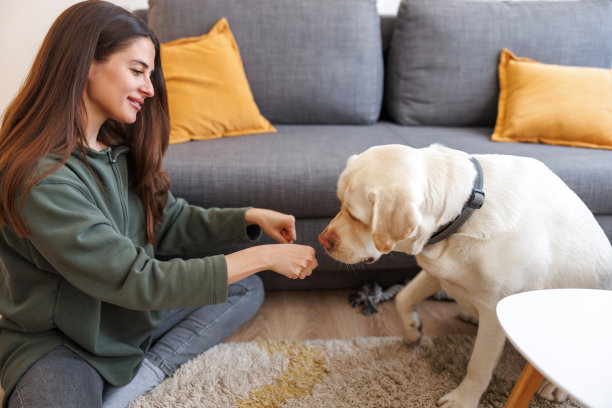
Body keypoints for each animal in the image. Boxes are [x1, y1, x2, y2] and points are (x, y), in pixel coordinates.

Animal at [318, 143, 608, 408]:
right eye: (339, 204)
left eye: (356, 217)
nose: (322, 241)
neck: (467, 210)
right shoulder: (437, 271)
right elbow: (402, 298)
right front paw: (413, 329)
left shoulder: (494, 310)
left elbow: (478, 364)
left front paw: (462, 399)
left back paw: (554, 387)